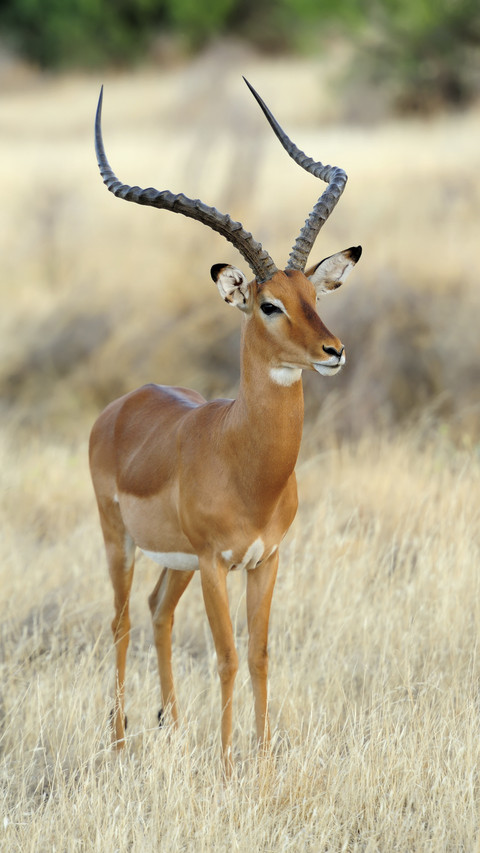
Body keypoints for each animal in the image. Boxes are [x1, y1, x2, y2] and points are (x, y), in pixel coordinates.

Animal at [89, 78, 361, 774]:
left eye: (313, 298)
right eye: (268, 305)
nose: (333, 352)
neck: (246, 462)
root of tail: (121, 405)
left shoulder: (267, 560)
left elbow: (261, 655)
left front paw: (260, 761)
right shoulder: (218, 562)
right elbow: (228, 656)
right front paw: (229, 762)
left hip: (177, 562)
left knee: (157, 613)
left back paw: (172, 726)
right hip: (120, 541)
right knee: (121, 622)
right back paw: (120, 742)